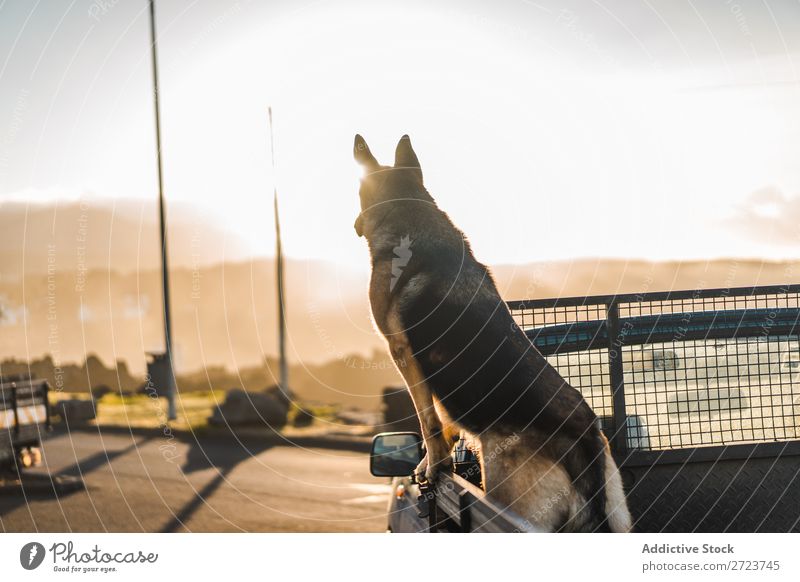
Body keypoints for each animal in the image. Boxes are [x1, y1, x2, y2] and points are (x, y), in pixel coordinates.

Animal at [354, 136, 636, 532]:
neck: (409, 212)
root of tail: (583, 445)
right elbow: (444, 423)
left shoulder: (402, 352)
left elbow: (427, 421)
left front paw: (433, 467)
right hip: (617, 513)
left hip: (510, 492)